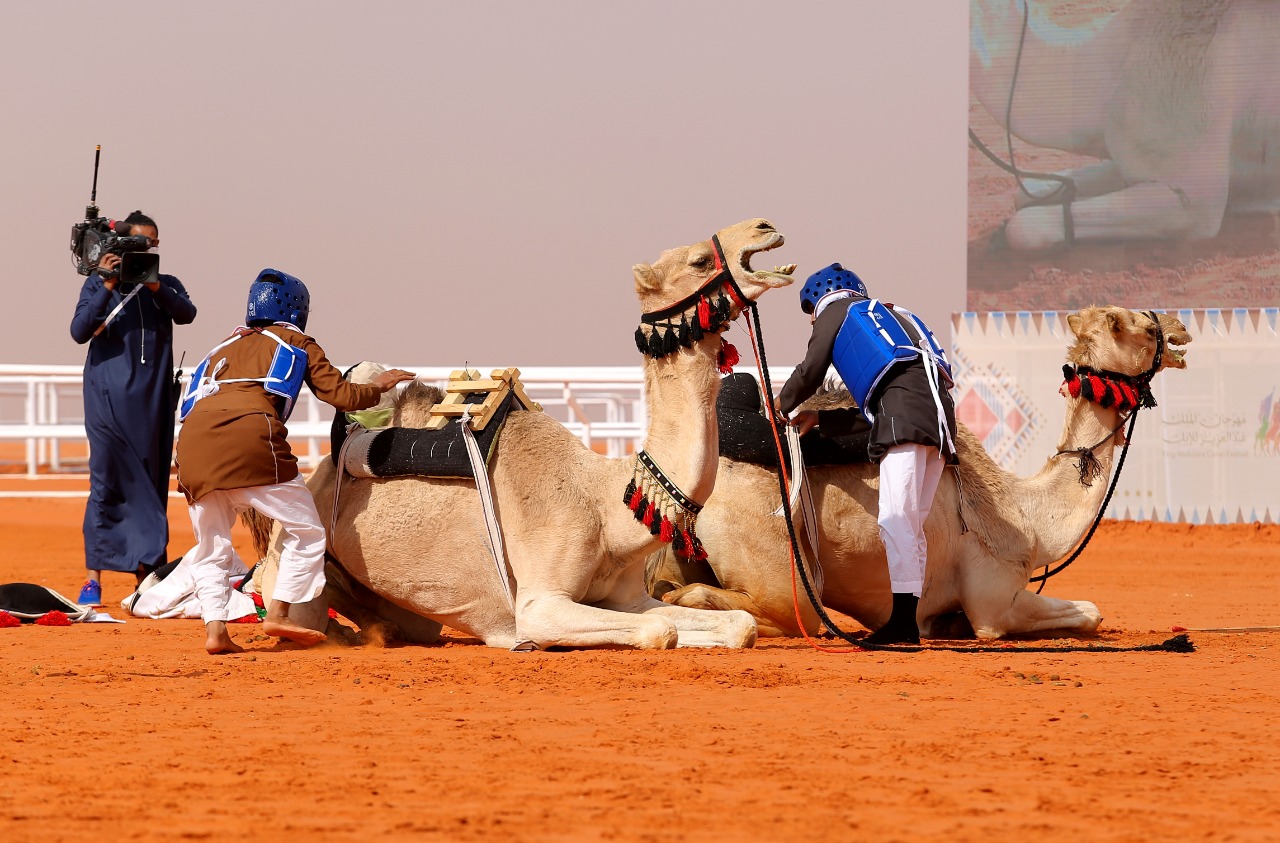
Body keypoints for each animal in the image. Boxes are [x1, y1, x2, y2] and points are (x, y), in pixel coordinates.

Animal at [254, 221, 793, 649]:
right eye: (700, 260)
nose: (765, 227)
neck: (602, 502)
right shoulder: (539, 605)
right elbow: (660, 631)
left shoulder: (629, 598)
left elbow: (736, 624)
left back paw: (375, 630)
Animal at [655, 308, 1192, 639]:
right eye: (1143, 327)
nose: (1179, 327)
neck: (1028, 519)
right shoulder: (993, 600)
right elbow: (1091, 613)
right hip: (779, 561)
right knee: (783, 613)